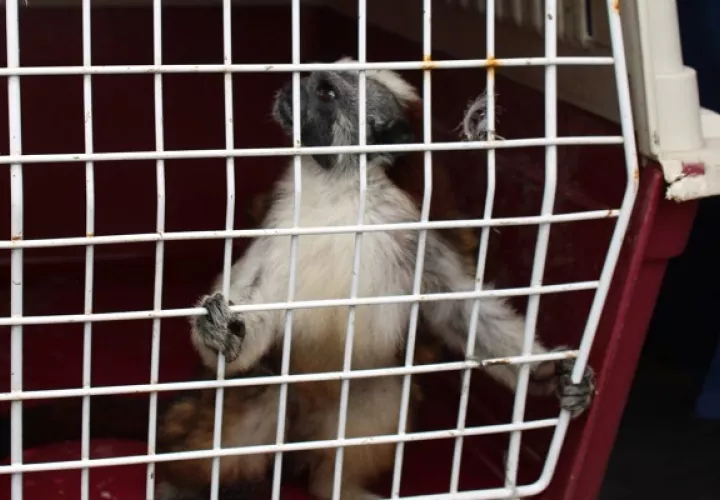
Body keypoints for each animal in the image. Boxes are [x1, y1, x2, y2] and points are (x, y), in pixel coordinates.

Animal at [158, 58, 596, 500]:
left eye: (326, 93)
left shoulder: (417, 238)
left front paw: (546, 376)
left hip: (355, 400)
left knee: (379, 404)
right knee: (246, 410)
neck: (343, 190)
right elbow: (257, 304)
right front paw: (219, 335)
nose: (290, 86)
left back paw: (335, 485)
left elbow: (458, 311)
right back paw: (178, 483)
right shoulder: (280, 229)